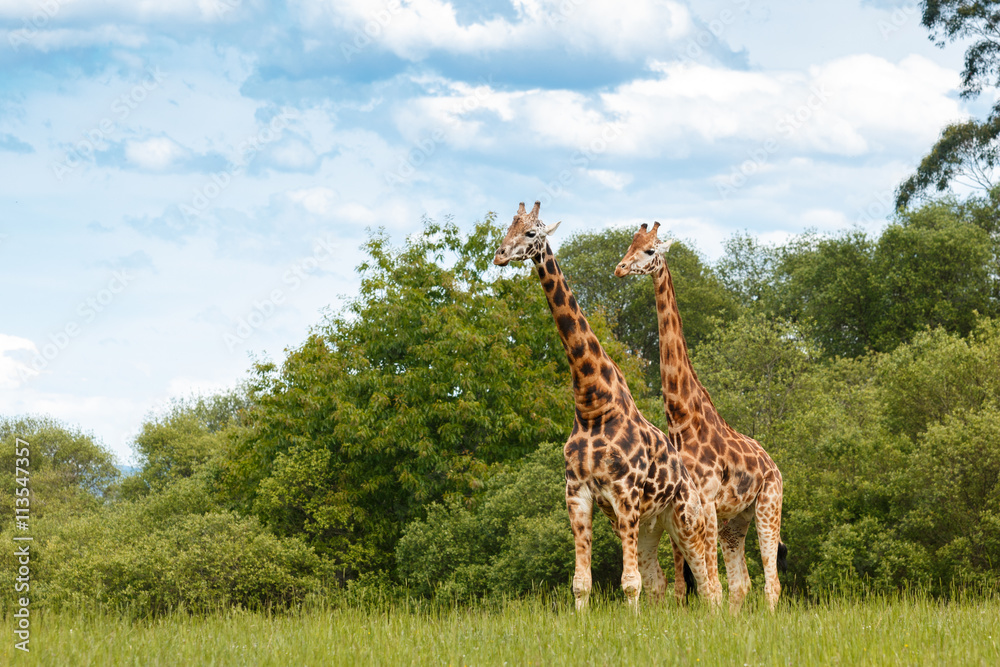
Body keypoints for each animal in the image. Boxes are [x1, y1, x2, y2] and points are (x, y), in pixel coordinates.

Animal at [493, 201, 722, 610]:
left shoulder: (625, 494)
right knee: (663, 580)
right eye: (508, 228)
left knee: (708, 583)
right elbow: (581, 583)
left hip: (684, 518)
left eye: (532, 233)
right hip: (651, 525)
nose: (500, 254)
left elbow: (629, 583)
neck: (592, 405)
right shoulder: (578, 496)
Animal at [614, 221, 786, 613]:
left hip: (768, 507)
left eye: (650, 251)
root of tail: (774, 465)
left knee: (771, 581)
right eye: (629, 245)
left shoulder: (704, 501)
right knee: (742, 582)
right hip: (734, 522)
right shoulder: (689, 503)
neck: (683, 419)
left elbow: (708, 577)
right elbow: (691, 580)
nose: (619, 268)